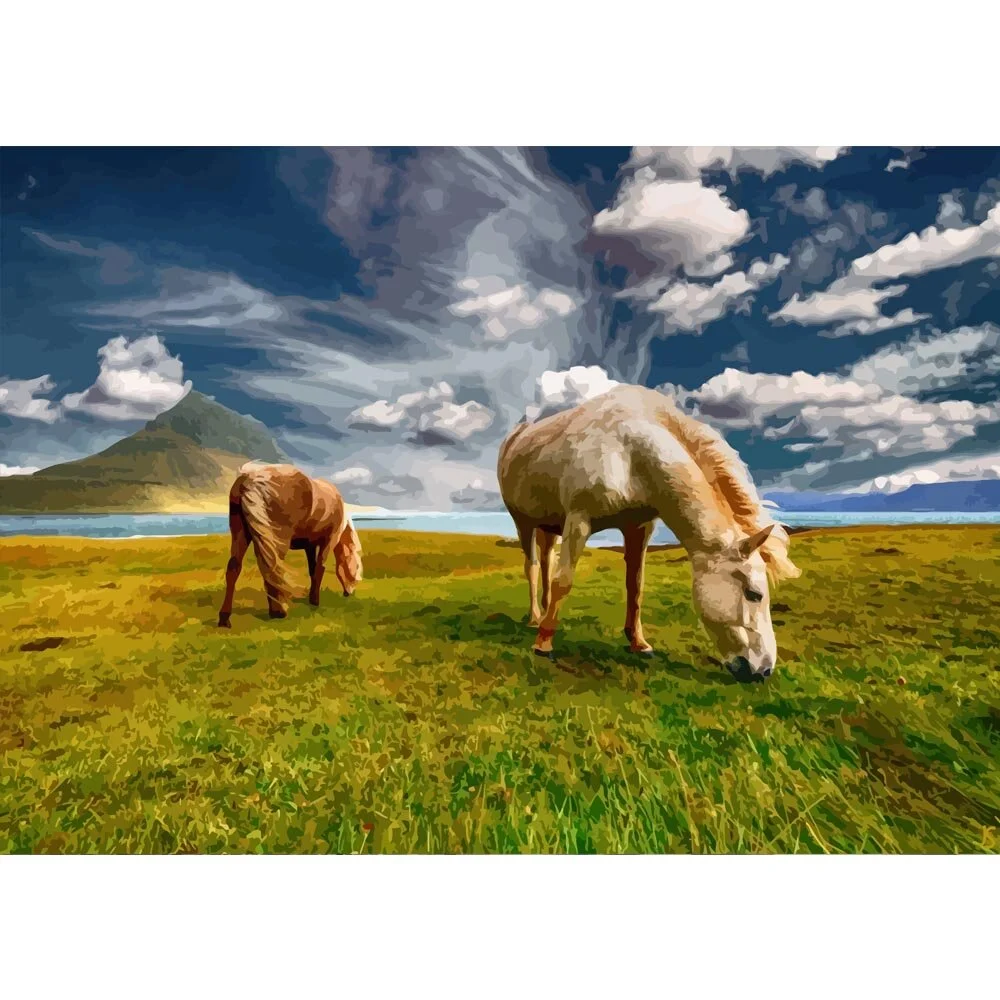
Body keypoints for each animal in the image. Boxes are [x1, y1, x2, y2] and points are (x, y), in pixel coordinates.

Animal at [217, 462, 363, 627]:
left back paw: (224, 618)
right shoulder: (328, 542)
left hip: (241, 534)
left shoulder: (310, 546)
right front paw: (315, 602)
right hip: (278, 540)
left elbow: (313, 570)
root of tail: (251, 479)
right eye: (356, 568)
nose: (349, 592)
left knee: (234, 568)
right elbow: (320, 568)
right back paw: (278, 611)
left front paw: (311, 598)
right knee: (272, 567)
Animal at [497, 384, 800, 680]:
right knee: (533, 566)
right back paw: (536, 618)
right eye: (754, 594)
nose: (764, 670)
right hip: (524, 522)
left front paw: (638, 642)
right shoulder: (578, 520)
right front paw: (543, 644)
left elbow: (636, 587)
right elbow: (564, 581)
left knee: (546, 561)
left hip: (550, 526)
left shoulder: (639, 528)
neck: (630, 452)